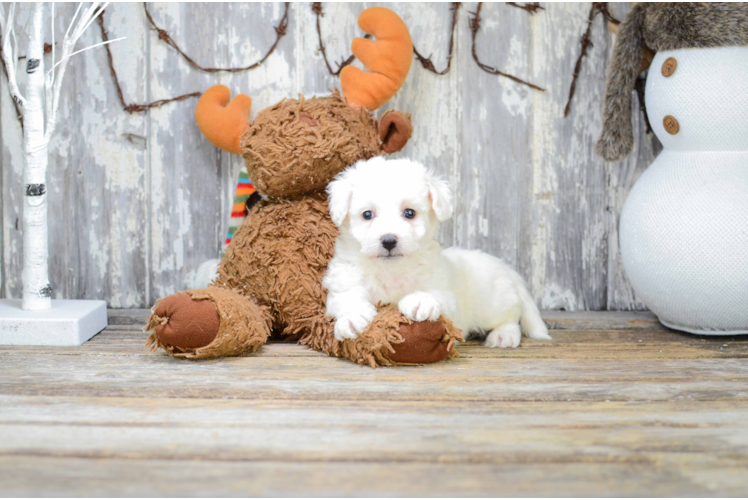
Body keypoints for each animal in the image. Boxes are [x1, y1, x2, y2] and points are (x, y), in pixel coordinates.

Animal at [322, 157, 548, 348]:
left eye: (409, 213)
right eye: (367, 214)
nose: (388, 240)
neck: (392, 269)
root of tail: (508, 269)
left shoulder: (447, 295)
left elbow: (437, 295)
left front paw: (421, 300)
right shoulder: (342, 284)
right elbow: (345, 298)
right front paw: (352, 317)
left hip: (494, 302)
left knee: (512, 314)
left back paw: (504, 335)